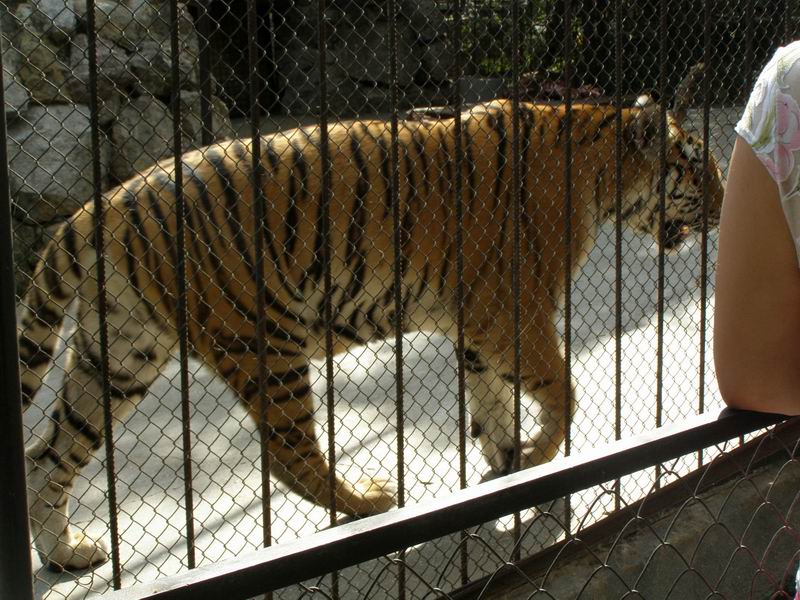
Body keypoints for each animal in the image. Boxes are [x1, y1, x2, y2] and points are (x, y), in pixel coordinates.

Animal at [17, 94, 724, 571]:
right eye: (699, 170)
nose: (721, 209)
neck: (600, 173)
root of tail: (105, 204)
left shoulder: (478, 326)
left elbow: (493, 406)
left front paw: (507, 467)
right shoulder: (514, 314)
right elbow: (562, 393)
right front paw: (537, 457)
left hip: (119, 355)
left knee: (45, 455)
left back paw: (65, 553)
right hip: (264, 339)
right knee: (288, 455)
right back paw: (370, 502)